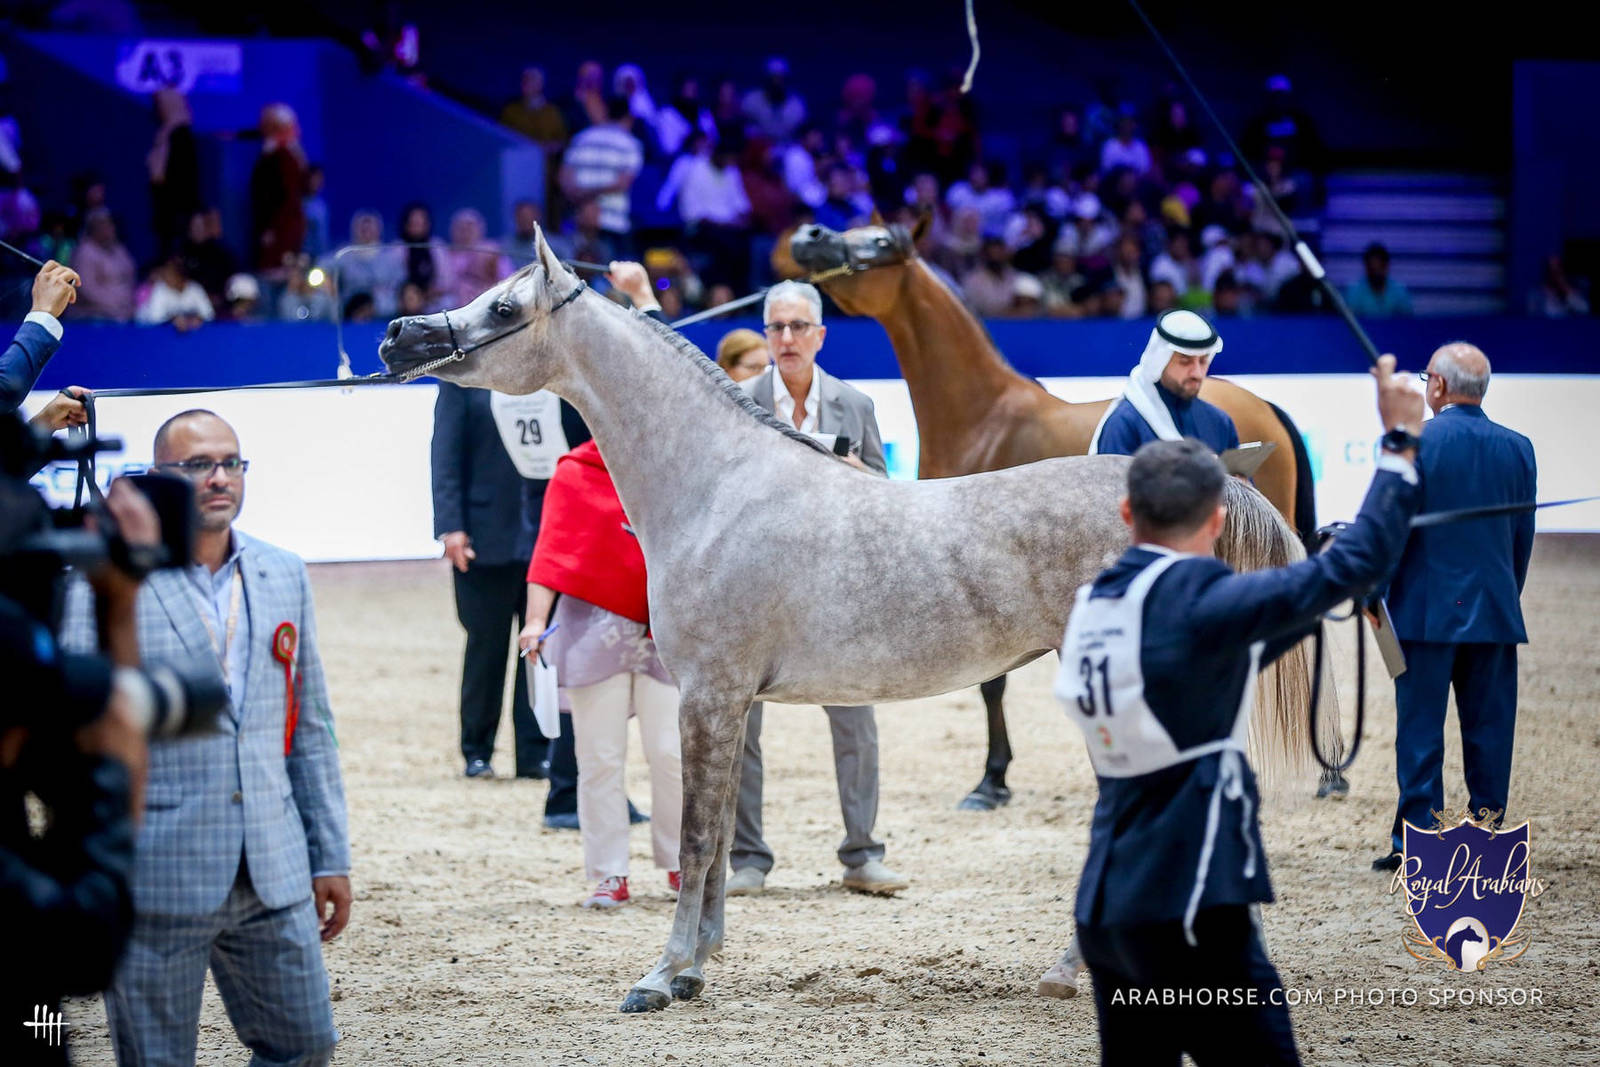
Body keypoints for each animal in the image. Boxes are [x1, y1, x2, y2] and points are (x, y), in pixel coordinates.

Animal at [788, 219, 1328, 809]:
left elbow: (993, 683)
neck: (987, 416)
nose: (810, 235)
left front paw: (991, 779)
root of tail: (1268, 407)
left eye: (881, 243)